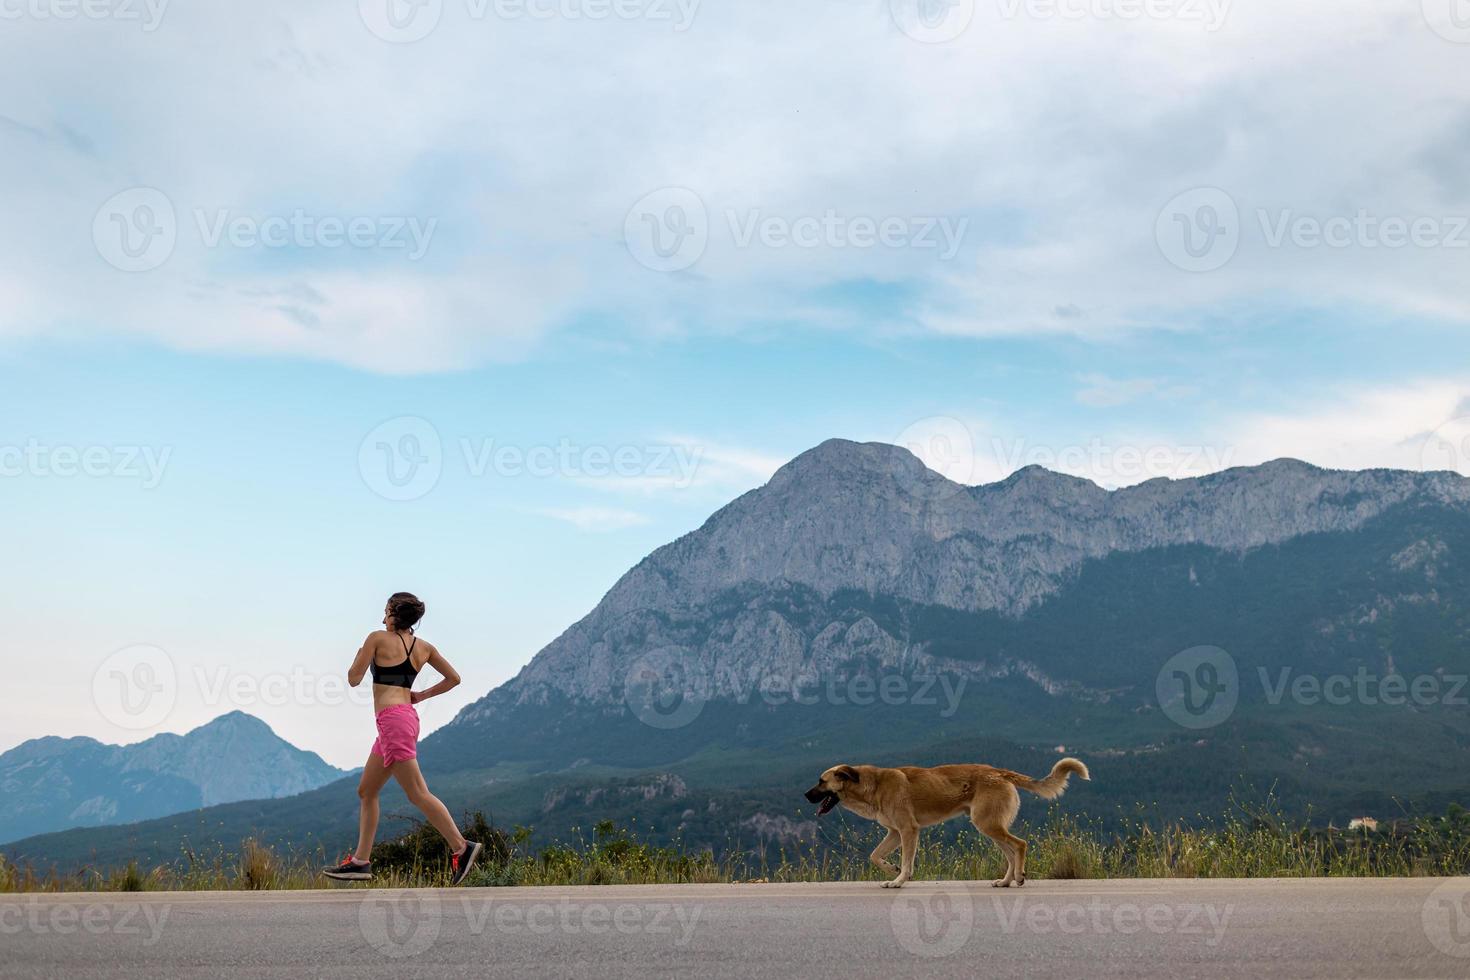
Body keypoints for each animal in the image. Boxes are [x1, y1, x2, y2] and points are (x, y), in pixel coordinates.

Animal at [811, 758, 1087, 887]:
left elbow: (906, 862)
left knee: (1020, 845)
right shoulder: (894, 833)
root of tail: (998, 772)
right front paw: (892, 871)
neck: (874, 786)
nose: (805, 795)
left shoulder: (908, 831)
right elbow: (875, 856)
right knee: (1010, 853)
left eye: (821, 781)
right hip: (990, 827)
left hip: (987, 824)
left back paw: (1018, 877)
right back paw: (1006, 881)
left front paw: (899, 881)